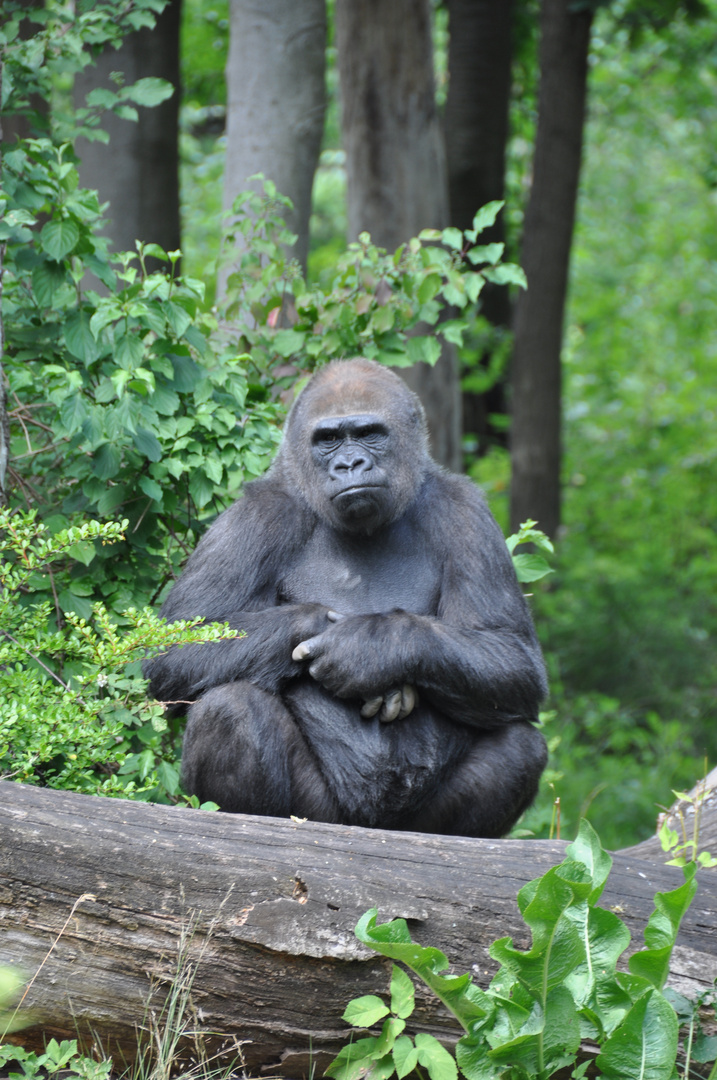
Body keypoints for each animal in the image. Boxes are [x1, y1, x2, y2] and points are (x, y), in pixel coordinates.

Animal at [146, 358, 548, 838]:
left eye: (370, 433)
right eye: (329, 440)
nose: (350, 463)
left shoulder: (466, 512)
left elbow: (512, 654)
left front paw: (372, 646)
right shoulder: (255, 516)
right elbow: (173, 651)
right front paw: (317, 626)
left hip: (412, 824)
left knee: (520, 741)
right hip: (321, 815)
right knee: (229, 706)